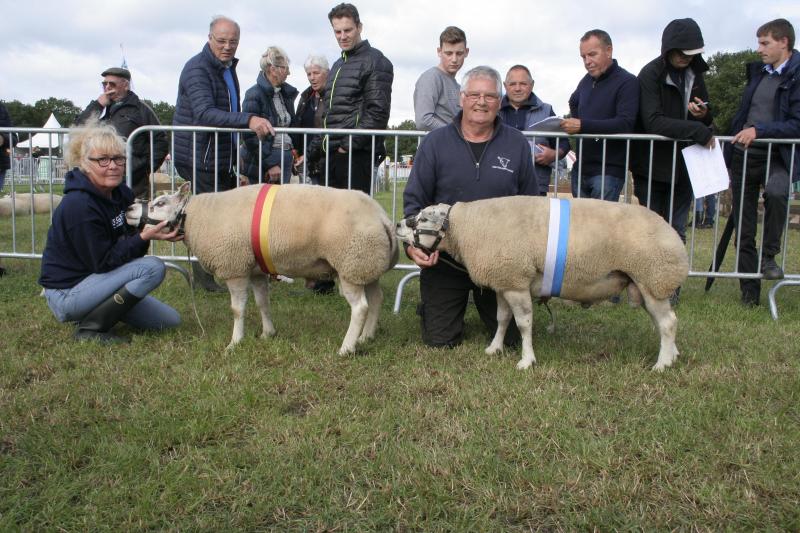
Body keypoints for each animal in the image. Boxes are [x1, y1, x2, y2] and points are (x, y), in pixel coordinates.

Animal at [128, 183, 400, 354]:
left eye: (160, 203)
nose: (130, 209)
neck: (195, 216)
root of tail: (382, 218)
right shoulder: (256, 270)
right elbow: (262, 303)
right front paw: (268, 333)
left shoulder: (234, 266)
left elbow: (237, 310)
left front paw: (235, 343)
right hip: (365, 265)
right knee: (376, 299)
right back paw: (366, 336)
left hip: (351, 261)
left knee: (360, 307)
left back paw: (347, 347)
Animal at [396, 195, 692, 370]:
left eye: (423, 218)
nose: (399, 225)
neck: (464, 228)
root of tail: (672, 233)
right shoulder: (506, 280)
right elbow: (502, 319)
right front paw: (494, 348)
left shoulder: (516, 282)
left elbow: (523, 323)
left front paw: (526, 360)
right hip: (647, 284)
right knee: (665, 322)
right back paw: (672, 355)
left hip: (653, 277)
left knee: (668, 323)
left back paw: (662, 364)